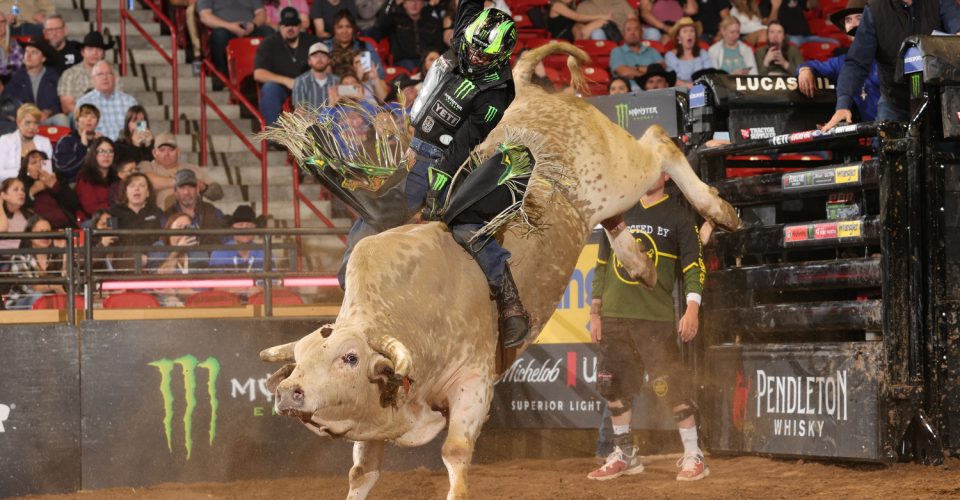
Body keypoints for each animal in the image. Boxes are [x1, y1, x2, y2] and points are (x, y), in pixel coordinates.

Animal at [258, 43, 740, 500]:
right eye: (300, 357)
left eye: (350, 357)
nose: (288, 391)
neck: (410, 312)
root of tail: (530, 89)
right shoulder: (376, 419)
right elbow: (362, 473)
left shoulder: (473, 383)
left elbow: (455, 452)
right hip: (605, 199)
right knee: (617, 220)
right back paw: (641, 267)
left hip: (620, 172)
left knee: (659, 141)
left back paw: (721, 210)